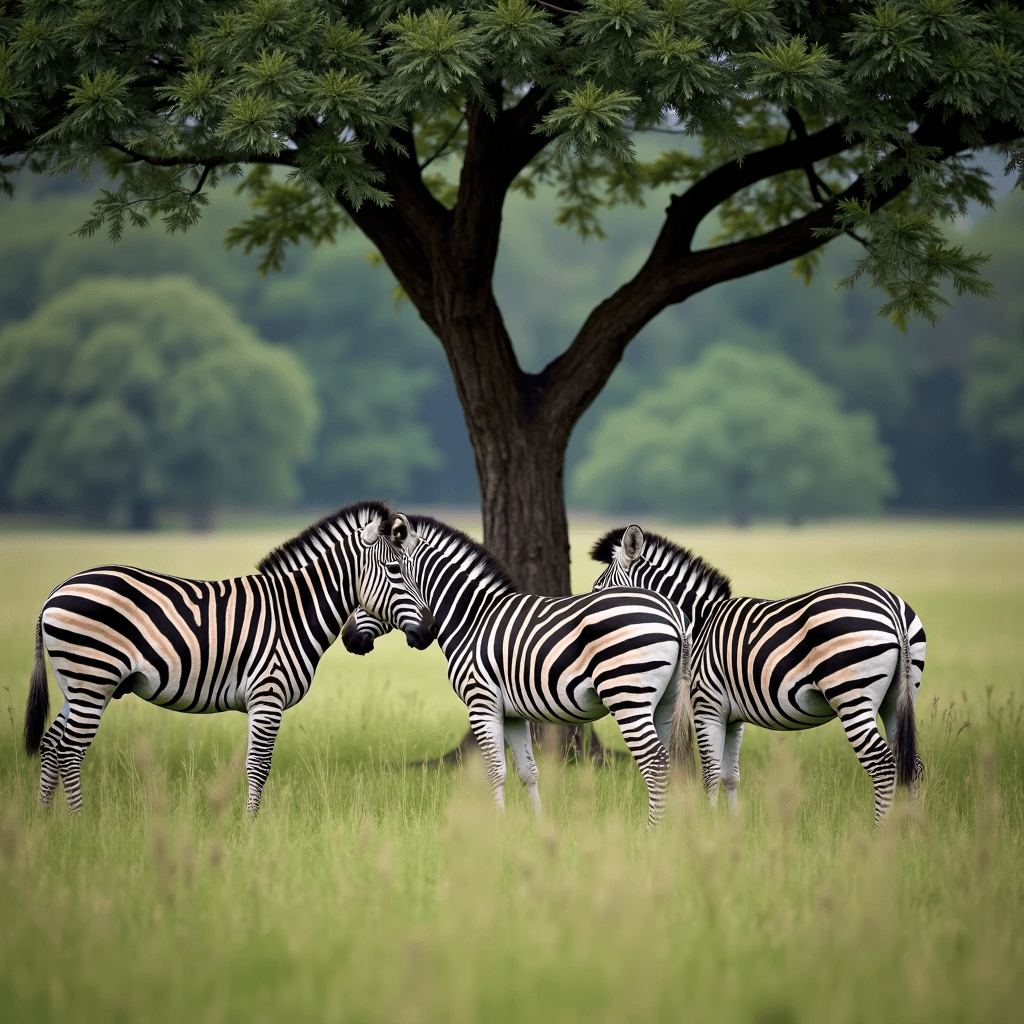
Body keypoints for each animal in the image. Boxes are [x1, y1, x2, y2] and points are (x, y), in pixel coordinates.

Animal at [22, 503, 432, 815]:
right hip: (93, 678)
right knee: (70, 751)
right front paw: (251, 826)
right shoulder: (267, 696)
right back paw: (78, 821)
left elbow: (257, 764)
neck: (292, 612)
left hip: (77, 685)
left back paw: (45, 821)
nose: (429, 630)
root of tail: (55, 592)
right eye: (395, 570)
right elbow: (258, 765)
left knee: (51, 744)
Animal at [342, 516, 688, 827]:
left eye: (373, 581)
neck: (472, 619)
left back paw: (652, 833)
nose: (347, 638)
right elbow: (528, 772)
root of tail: (671, 612)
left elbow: (495, 771)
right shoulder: (513, 714)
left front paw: (498, 830)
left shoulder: (482, 703)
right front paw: (537, 829)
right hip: (665, 702)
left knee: (656, 764)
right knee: (670, 760)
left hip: (627, 695)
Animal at [589, 528, 925, 823]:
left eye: (598, 590)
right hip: (897, 697)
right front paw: (731, 826)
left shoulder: (707, 707)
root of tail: (892, 607)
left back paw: (880, 832)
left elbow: (710, 773)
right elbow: (730, 775)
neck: (700, 623)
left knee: (883, 765)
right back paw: (912, 832)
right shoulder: (732, 716)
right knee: (913, 765)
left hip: (852, 694)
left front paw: (708, 826)